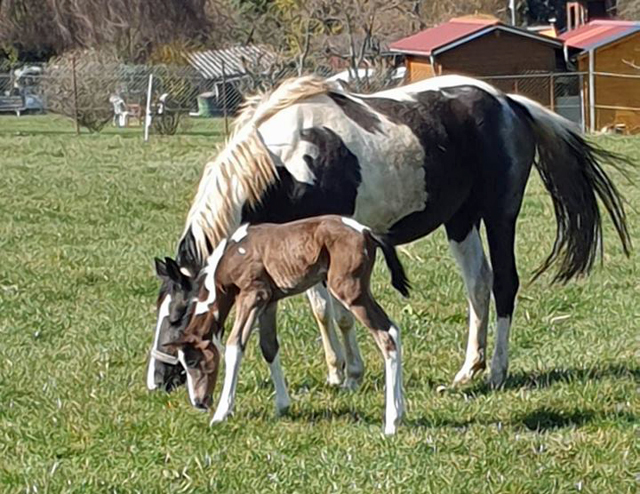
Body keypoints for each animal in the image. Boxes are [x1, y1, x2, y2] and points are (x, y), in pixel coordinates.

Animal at [149, 74, 632, 394]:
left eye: (177, 316)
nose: (157, 379)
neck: (287, 160)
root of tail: (509, 103)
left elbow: (341, 311)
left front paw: (352, 374)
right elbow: (322, 311)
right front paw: (336, 371)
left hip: (499, 216)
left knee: (505, 286)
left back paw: (496, 371)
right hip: (460, 221)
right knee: (478, 286)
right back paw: (467, 370)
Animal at [160, 214, 410, 434]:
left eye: (192, 361)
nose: (199, 402)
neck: (229, 256)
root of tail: (366, 231)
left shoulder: (253, 294)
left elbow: (234, 345)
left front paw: (221, 414)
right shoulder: (269, 302)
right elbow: (269, 347)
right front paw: (282, 406)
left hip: (350, 291)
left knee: (386, 334)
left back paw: (391, 423)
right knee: (394, 330)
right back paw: (400, 413)